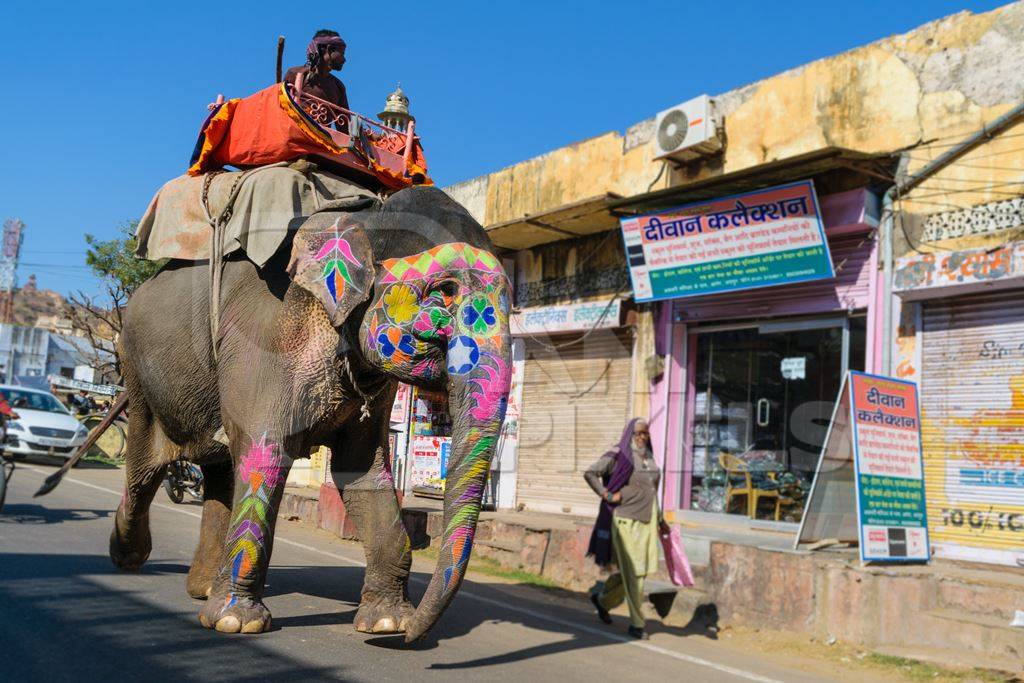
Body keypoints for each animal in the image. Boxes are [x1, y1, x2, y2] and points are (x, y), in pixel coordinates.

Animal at [109, 185, 512, 643]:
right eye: (444, 290)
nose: (412, 637)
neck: (367, 217)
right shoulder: (264, 339)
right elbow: (265, 454)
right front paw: (237, 623)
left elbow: (362, 470)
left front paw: (387, 622)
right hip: (137, 373)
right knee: (145, 469)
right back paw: (130, 556)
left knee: (219, 468)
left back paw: (203, 588)